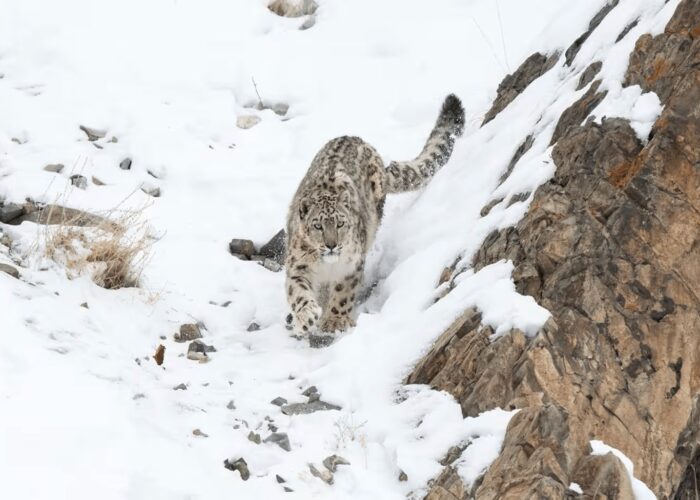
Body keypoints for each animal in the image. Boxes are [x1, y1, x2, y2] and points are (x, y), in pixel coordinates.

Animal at [285, 94, 465, 337]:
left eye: (340, 224)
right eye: (318, 226)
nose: (332, 245)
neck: (327, 266)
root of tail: (356, 138)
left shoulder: (351, 265)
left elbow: (343, 292)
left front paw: (334, 320)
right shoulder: (298, 266)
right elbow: (299, 293)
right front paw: (306, 317)